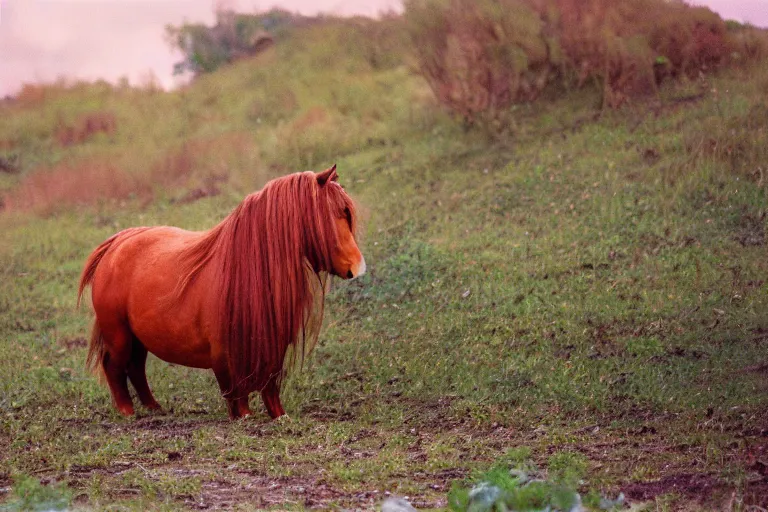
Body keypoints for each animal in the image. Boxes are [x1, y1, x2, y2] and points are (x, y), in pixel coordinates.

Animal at [78, 167, 366, 420]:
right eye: (337, 212)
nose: (358, 267)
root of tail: (117, 243)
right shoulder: (224, 355)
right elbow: (235, 392)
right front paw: (244, 417)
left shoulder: (271, 346)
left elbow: (269, 386)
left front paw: (279, 416)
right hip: (119, 336)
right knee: (114, 367)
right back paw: (127, 411)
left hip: (137, 338)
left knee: (136, 368)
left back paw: (153, 407)